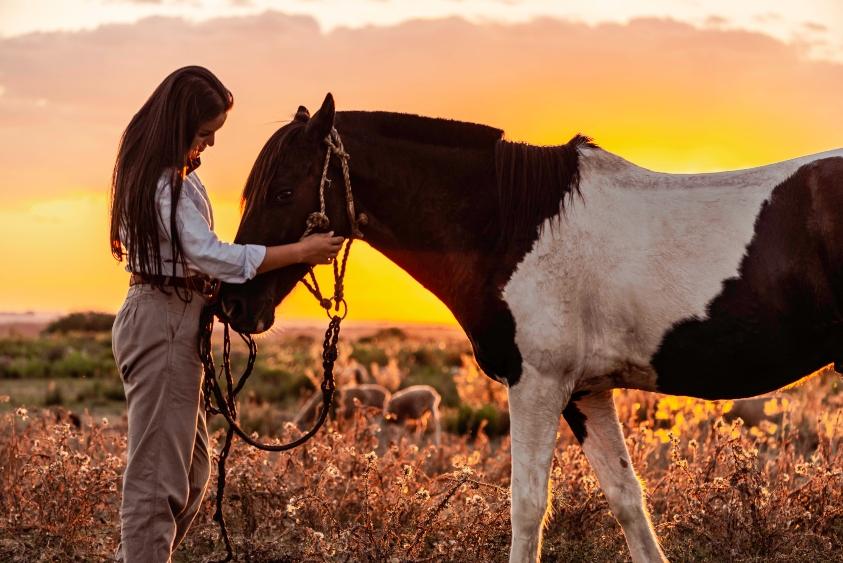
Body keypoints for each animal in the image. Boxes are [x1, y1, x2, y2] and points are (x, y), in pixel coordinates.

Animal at [219, 94, 843, 560]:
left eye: (283, 190)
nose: (234, 305)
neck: (512, 228)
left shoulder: (538, 385)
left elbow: (526, 506)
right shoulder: (586, 392)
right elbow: (627, 498)